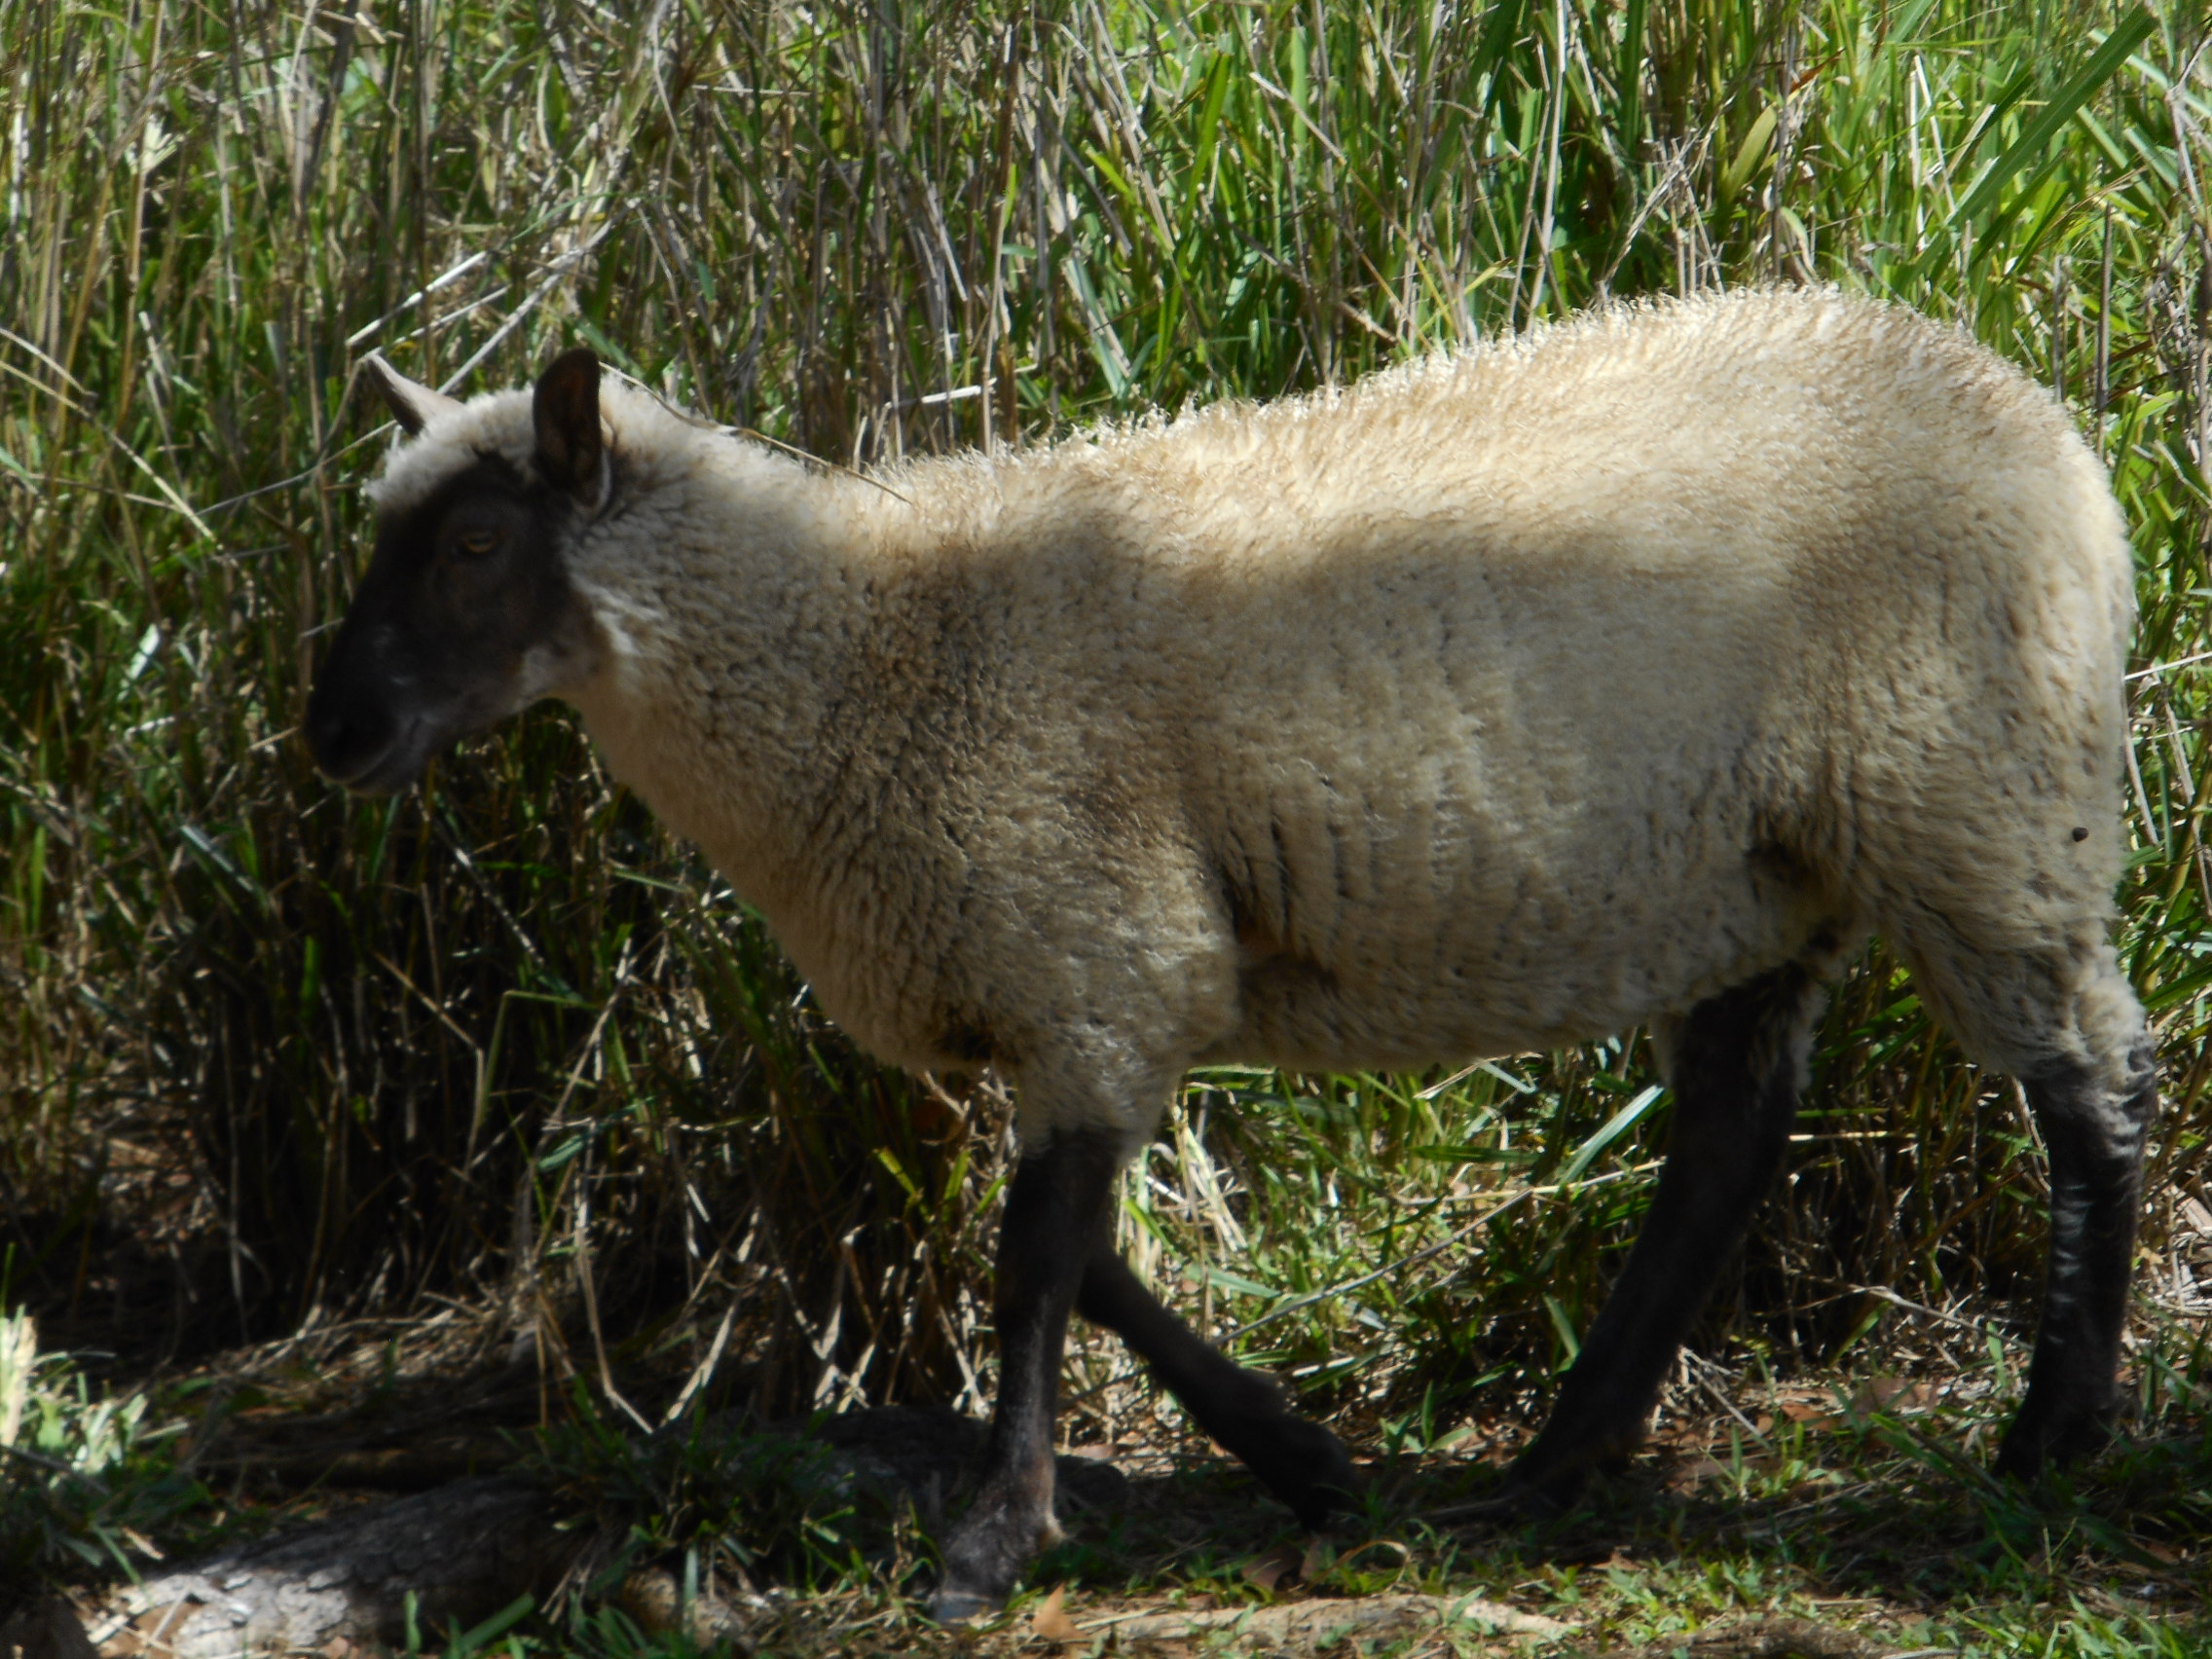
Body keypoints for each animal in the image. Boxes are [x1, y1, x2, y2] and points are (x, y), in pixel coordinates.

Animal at [312, 289, 2158, 1628]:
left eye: (473, 545)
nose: (337, 734)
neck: (859, 647)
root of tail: (2031, 412)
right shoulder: (1081, 977)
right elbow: (1095, 1261)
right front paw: (1307, 1461)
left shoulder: (1090, 944)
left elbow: (1033, 1260)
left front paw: (993, 1542)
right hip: (1759, 875)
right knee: (1724, 1140)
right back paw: (1556, 1465)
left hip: (1974, 795)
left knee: (2089, 1086)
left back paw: (2049, 1434)